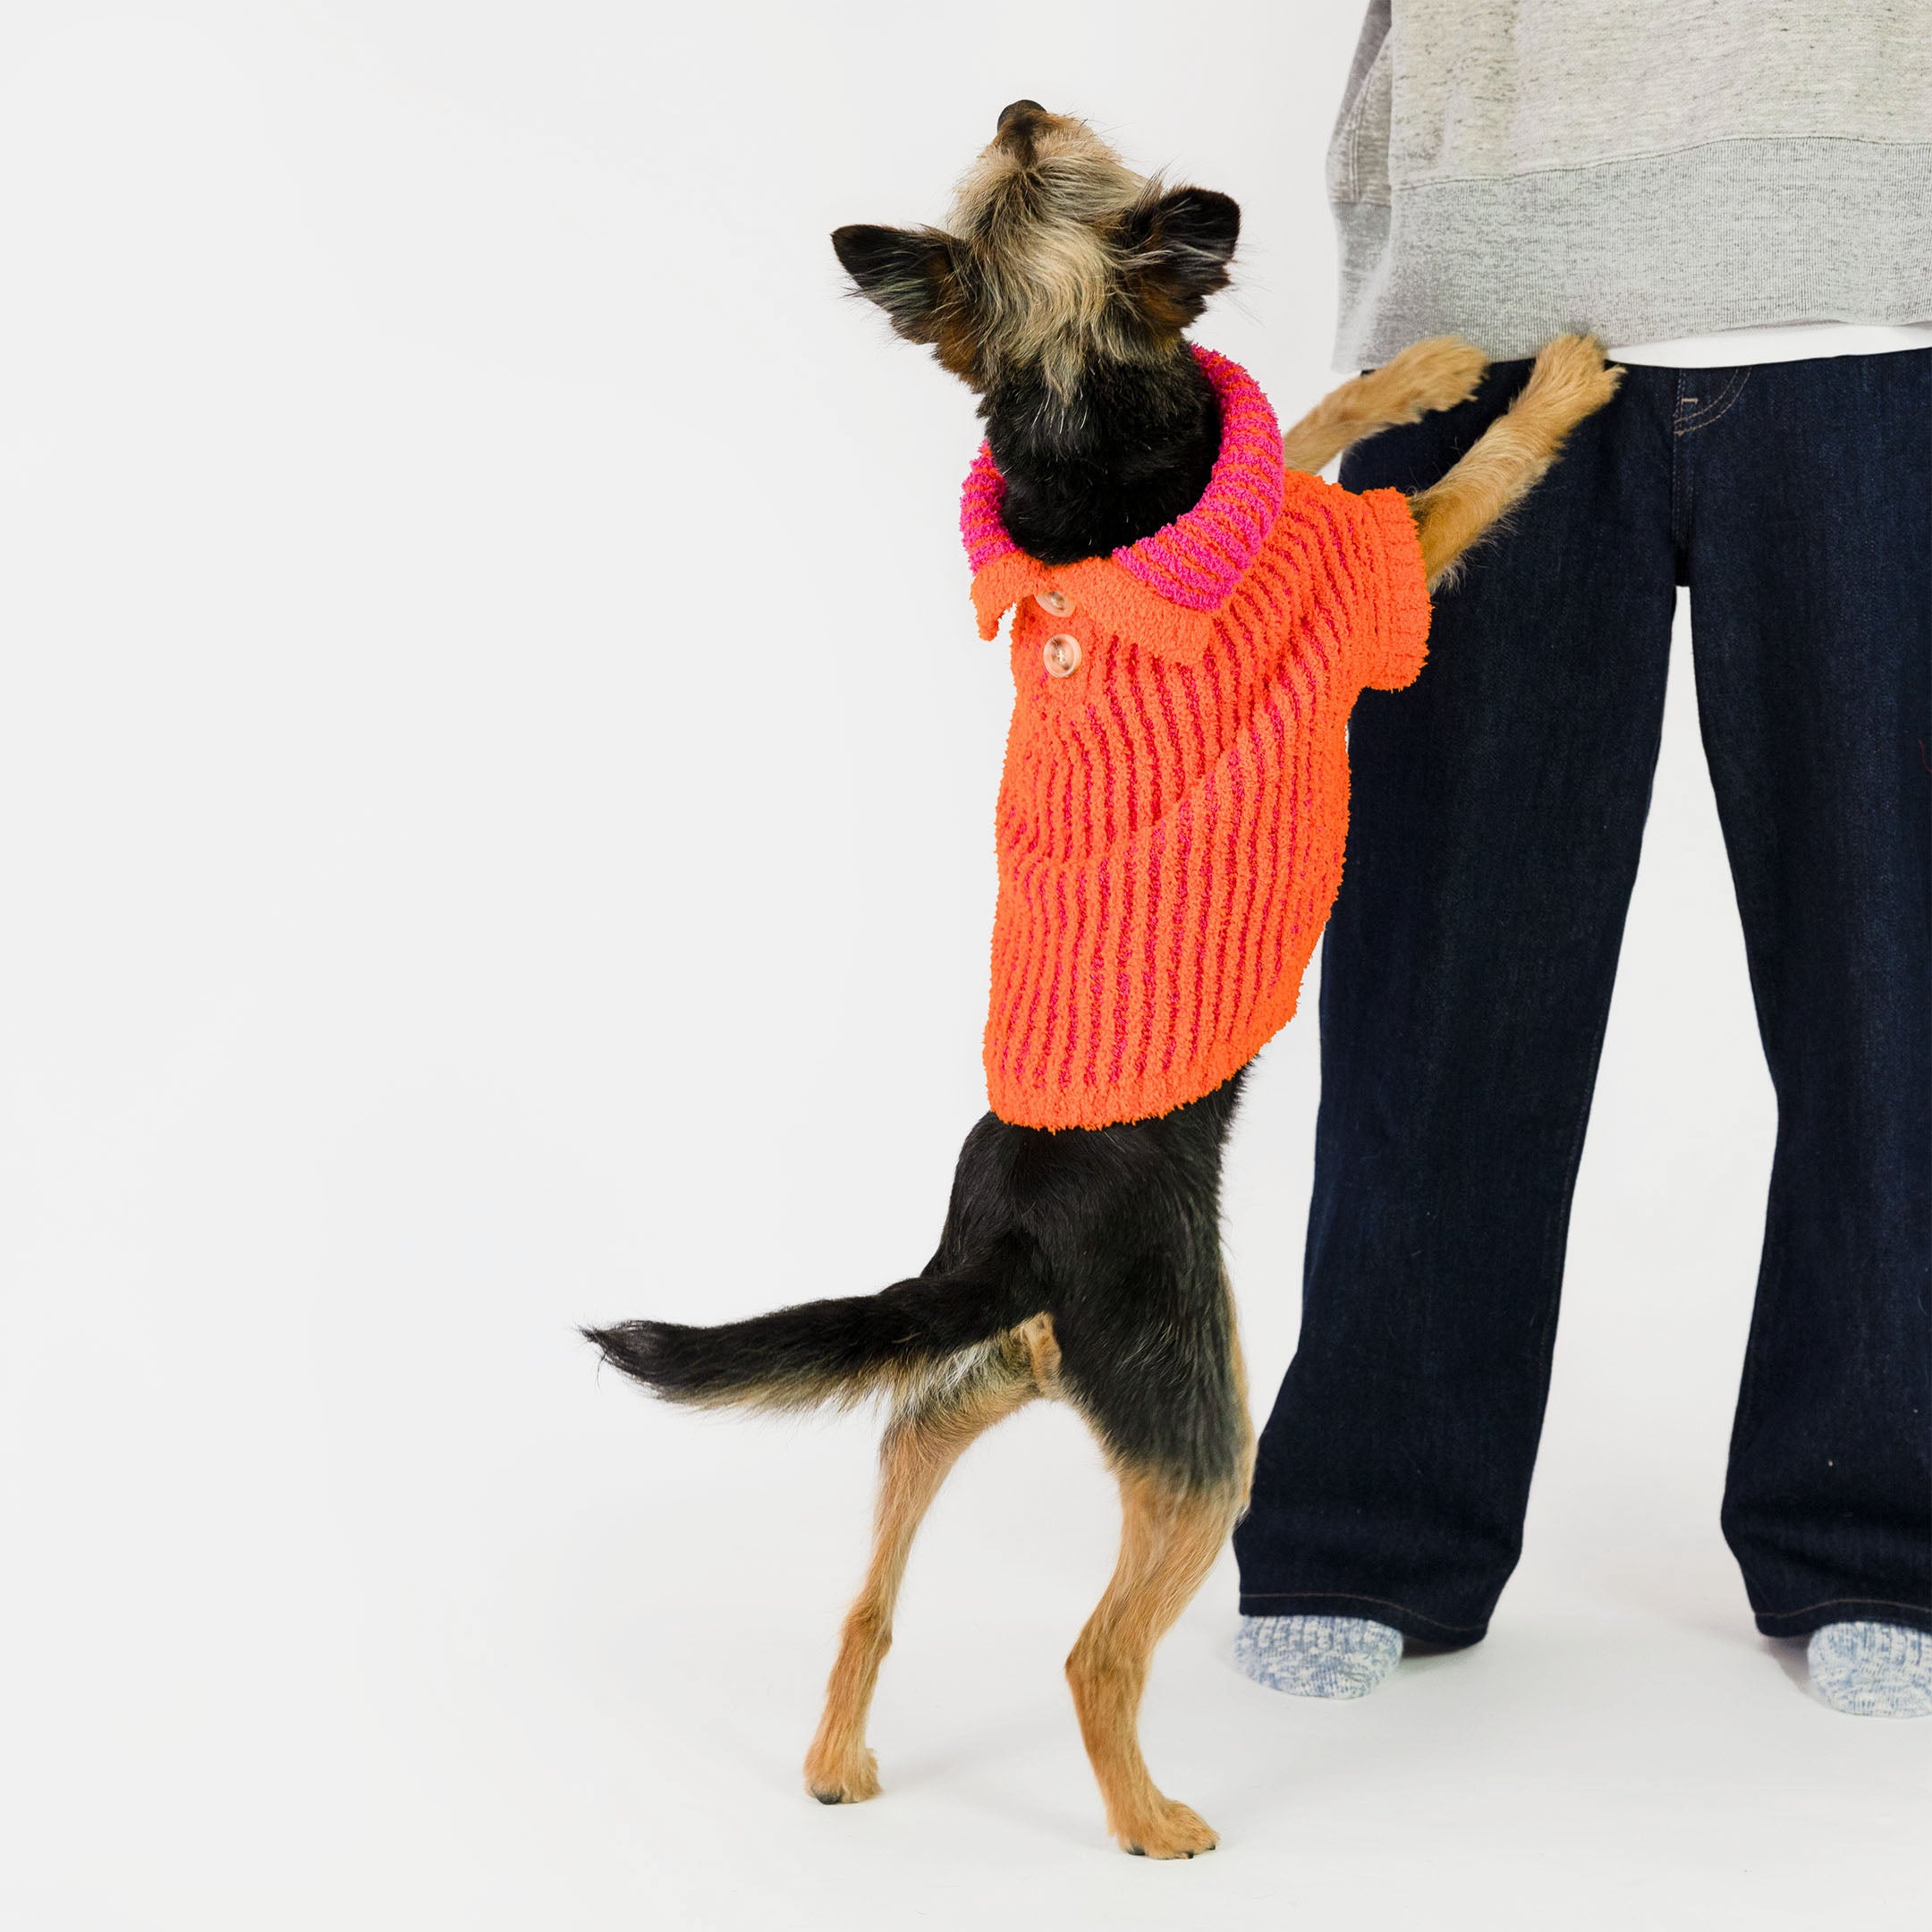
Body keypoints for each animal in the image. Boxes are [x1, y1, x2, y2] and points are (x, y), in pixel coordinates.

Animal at [587, 106, 1614, 1854]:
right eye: (1043, 180)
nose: (1019, 106)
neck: (1075, 448)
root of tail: (1004, 1235)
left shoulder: (1270, 511)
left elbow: (1304, 430)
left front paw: (1410, 372)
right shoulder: (1374, 580)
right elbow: (1459, 487)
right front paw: (1548, 383)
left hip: (1007, 1369)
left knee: (887, 1529)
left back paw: (841, 1756)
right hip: (1194, 1416)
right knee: (1095, 1652)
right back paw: (1151, 1820)